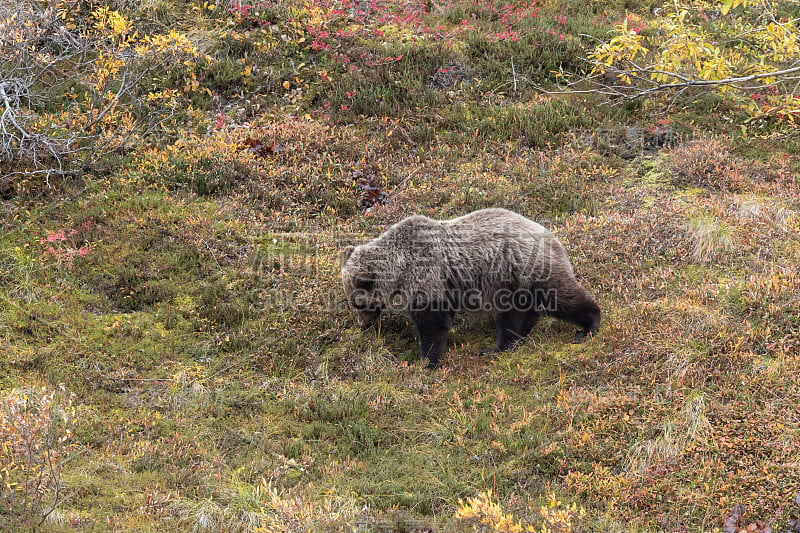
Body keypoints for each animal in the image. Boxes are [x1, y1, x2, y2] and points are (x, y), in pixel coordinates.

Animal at [340, 207, 600, 366]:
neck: (400, 264)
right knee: (516, 316)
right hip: (512, 284)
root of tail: (552, 236)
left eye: (358, 303)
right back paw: (501, 346)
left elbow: (432, 321)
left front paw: (425, 360)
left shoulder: (426, 273)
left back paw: (588, 326)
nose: (363, 325)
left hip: (528, 268)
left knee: (560, 297)